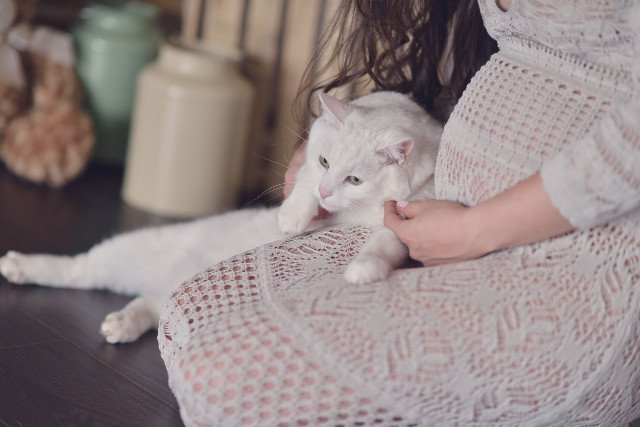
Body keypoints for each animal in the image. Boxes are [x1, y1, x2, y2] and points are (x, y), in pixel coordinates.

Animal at [0, 93, 440, 344]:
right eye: (324, 161)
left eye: (355, 180)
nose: (326, 193)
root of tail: (170, 282)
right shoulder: (310, 165)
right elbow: (301, 183)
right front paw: (292, 217)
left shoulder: (402, 222)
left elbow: (383, 244)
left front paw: (363, 269)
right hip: (131, 251)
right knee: (79, 269)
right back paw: (19, 265)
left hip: (168, 299)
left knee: (146, 305)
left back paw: (122, 323)